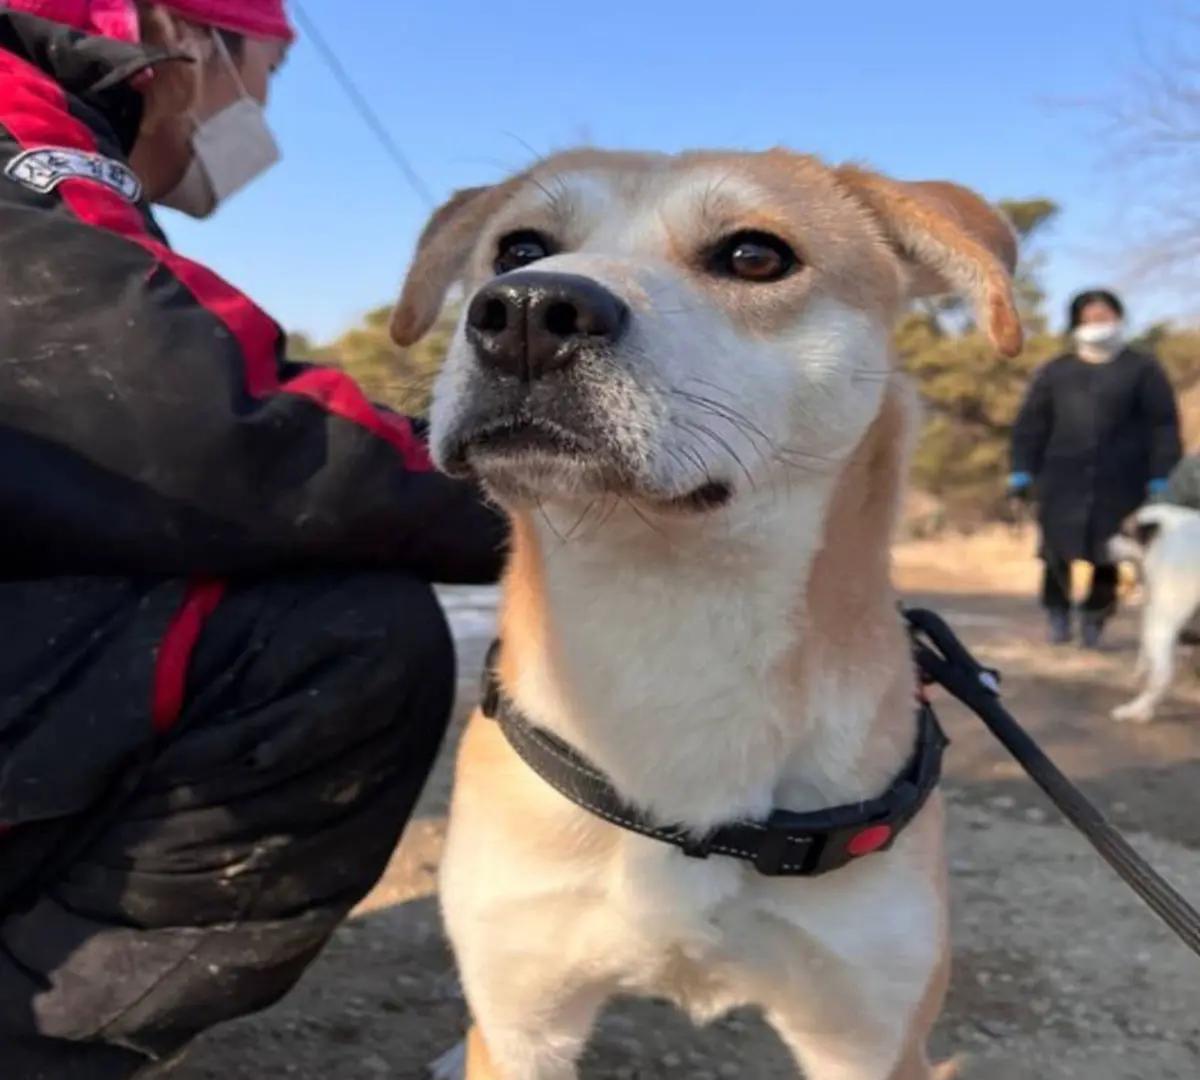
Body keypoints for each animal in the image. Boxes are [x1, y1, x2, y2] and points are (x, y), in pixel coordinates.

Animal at [396, 151, 1022, 1080]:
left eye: (755, 256)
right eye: (519, 248)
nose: (527, 311)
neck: (671, 626)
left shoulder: (866, 1037)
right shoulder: (525, 1023)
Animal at [1104, 506, 1200, 724]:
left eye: (1125, 532)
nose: (1104, 546)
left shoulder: (1160, 619)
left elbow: (1157, 671)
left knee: (1161, 678)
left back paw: (1134, 710)